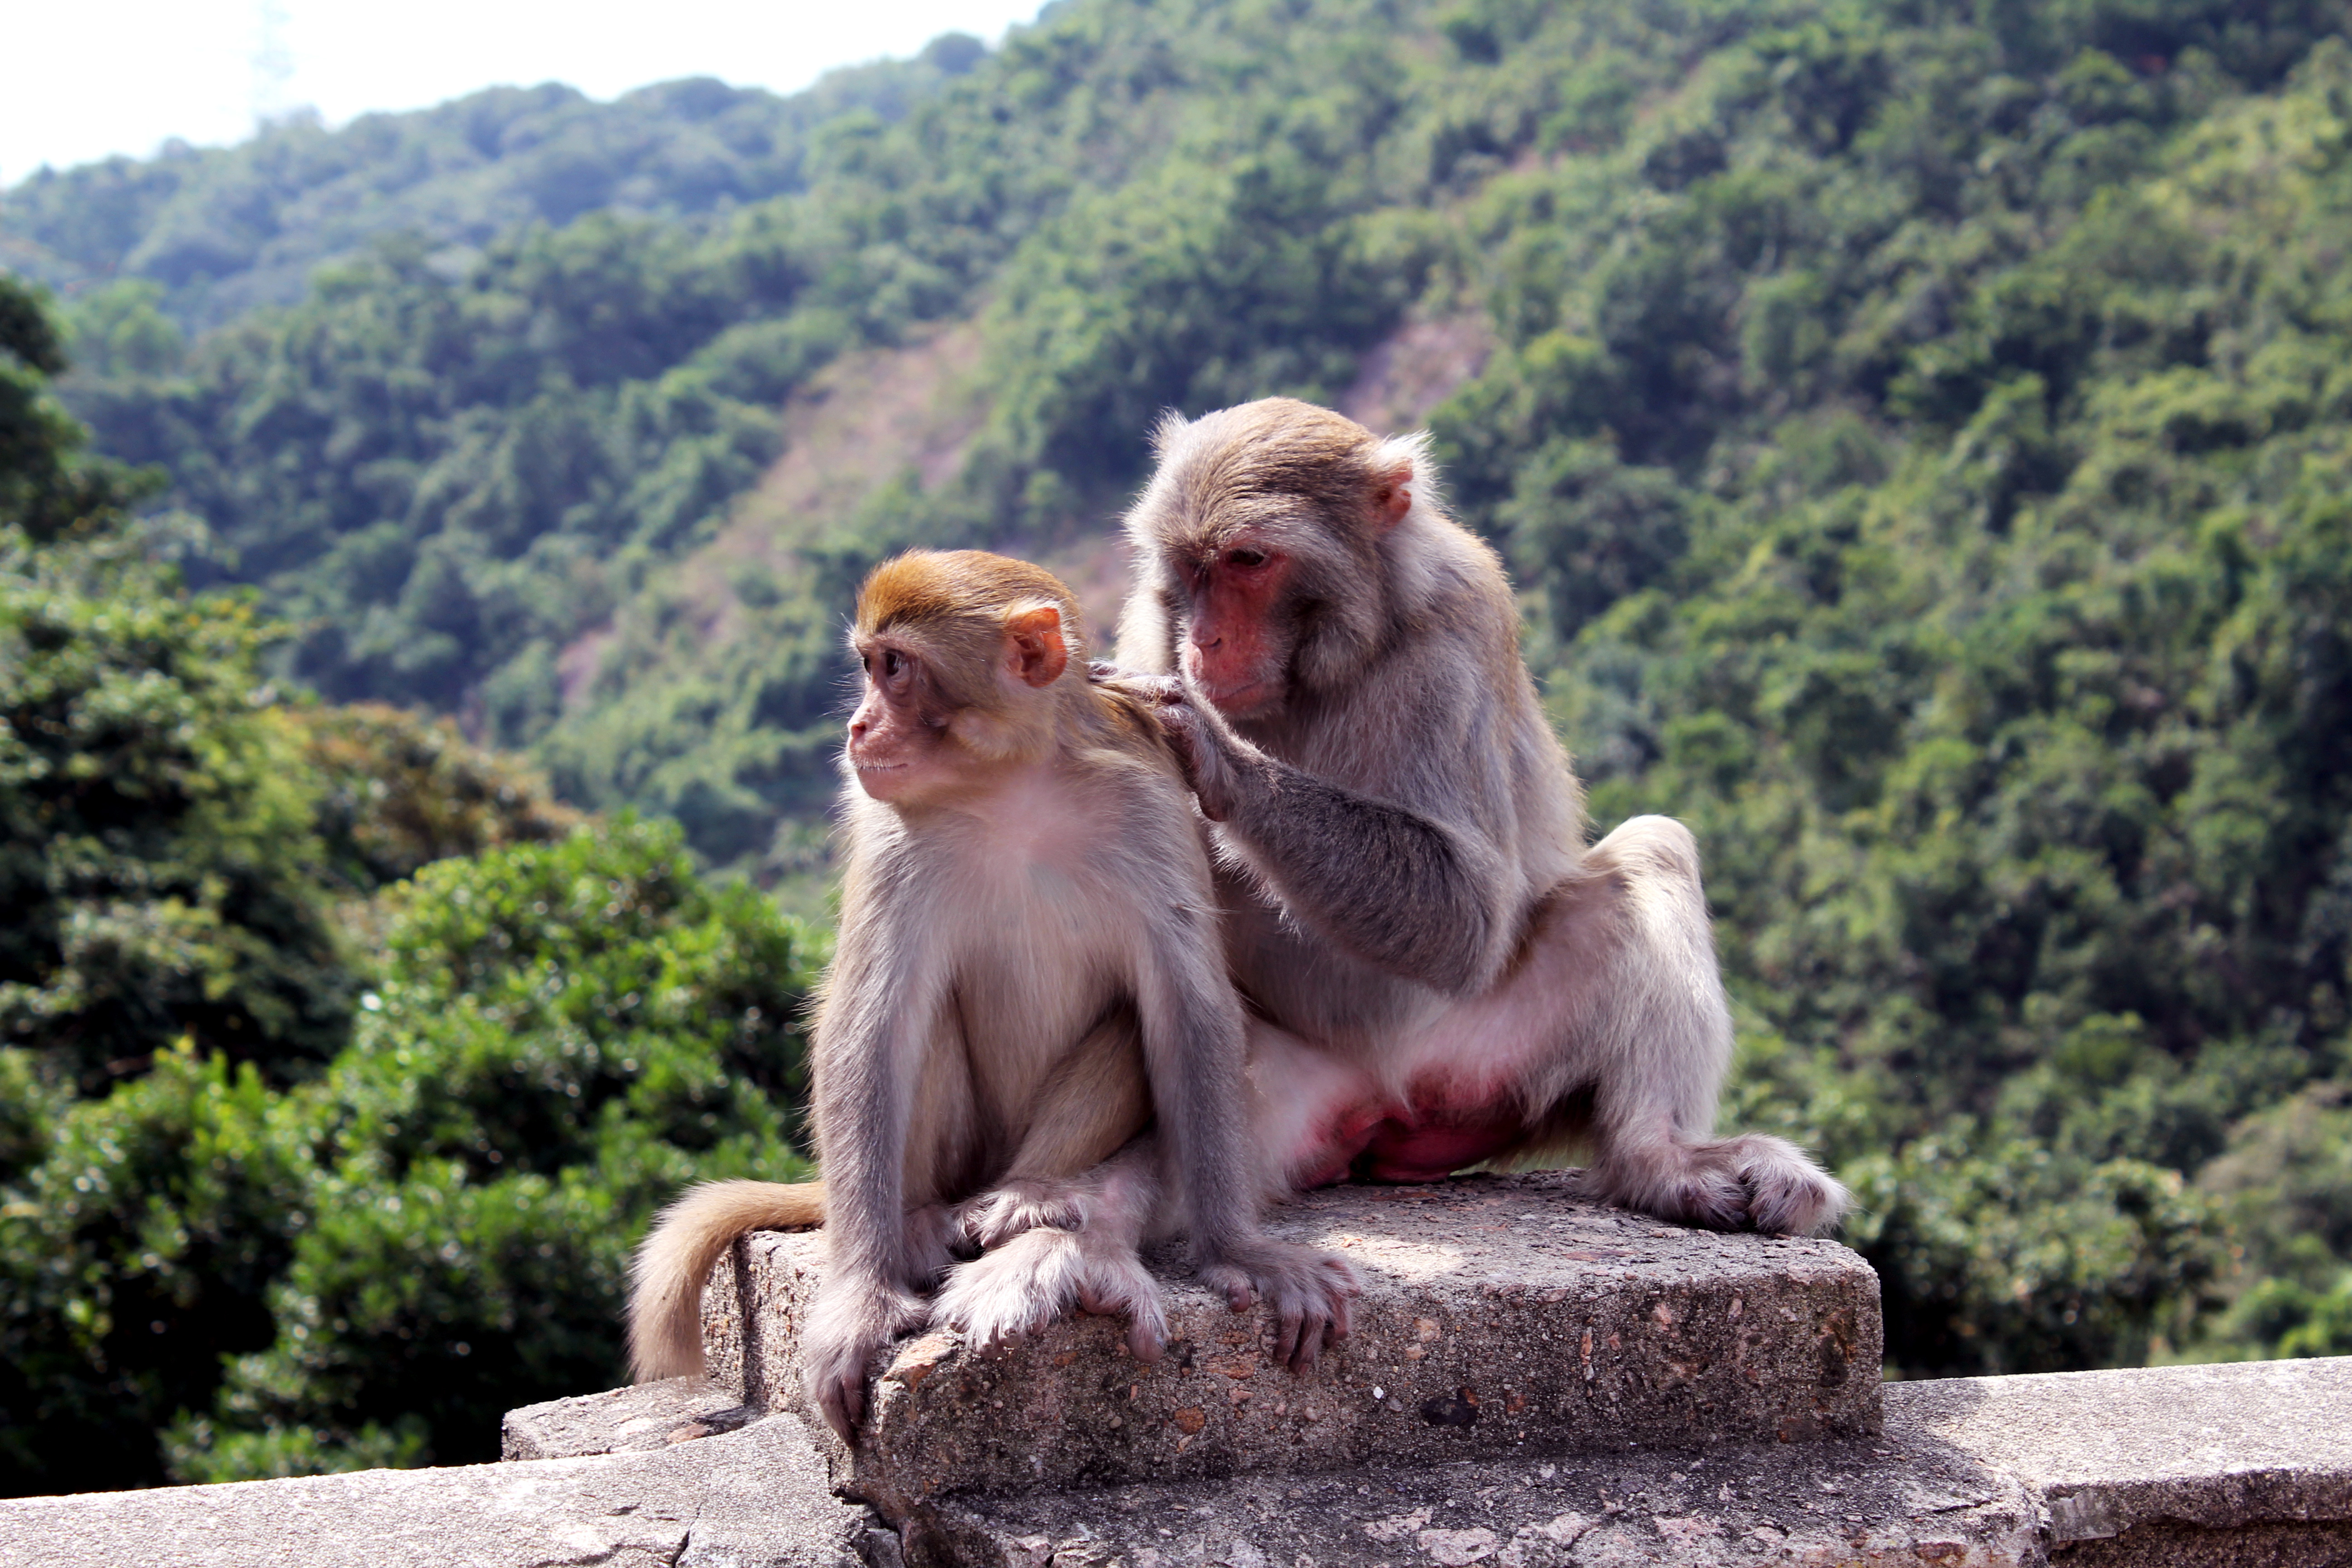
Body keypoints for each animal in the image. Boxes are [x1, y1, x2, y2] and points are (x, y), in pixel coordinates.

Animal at [635, 550, 1354, 1439]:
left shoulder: (1148, 806)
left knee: (1127, 1025)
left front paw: (1238, 1250)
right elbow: (872, 1024)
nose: (857, 729)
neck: (1013, 785)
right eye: (869, 666)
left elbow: (1188, 1006)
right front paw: (862, 1297)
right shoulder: (891, 832)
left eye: (895, 668)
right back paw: (914, 1217)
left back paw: (1031, 1193)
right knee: (919, 1028)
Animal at [1110, 395, 1844, 1241]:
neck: (1323, 665)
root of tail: (1372, 1103)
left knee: (1651, 853)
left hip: (1482, 1061)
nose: (1205, 640)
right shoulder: (1147, 626)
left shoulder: (1457, 628)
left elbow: (1463, 916)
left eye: (1248, 561)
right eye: (1189, 567)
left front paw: (1210, 749)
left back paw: (1659, 1161)